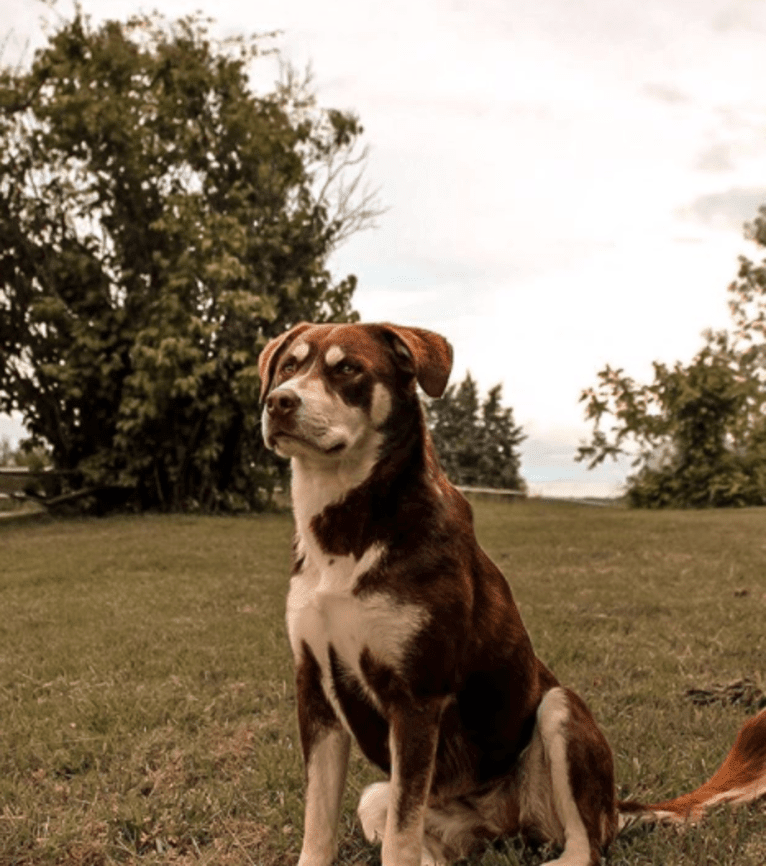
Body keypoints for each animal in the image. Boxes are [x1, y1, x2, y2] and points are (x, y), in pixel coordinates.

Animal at [260, 320, 766, 860]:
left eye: (349, 369)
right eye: (288, 366)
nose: (278, 402)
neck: (345, 534)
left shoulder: (416, 695)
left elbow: (399, 838)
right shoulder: (314, 687)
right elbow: (320, 818)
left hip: (560, 709)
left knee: (584, 845)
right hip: (379, 795)